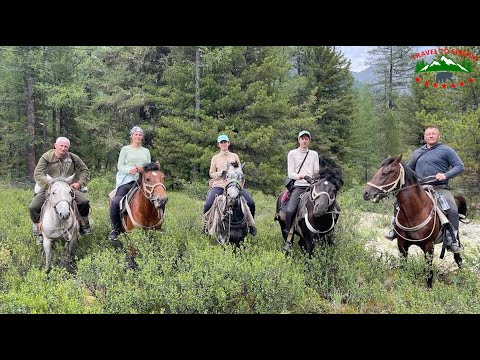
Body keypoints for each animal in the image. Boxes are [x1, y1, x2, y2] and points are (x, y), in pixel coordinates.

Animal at [362, 155, 466, 286]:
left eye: (386, 172)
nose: (366, 193)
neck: (414, 213)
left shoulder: (429, 247)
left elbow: (429, 273)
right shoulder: (402, 245)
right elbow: (403, 267)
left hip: (456, 239)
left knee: (458, 258)